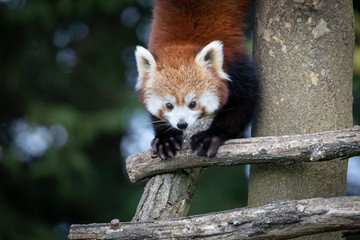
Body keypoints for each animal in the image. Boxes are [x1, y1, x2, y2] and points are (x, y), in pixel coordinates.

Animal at [134, 0, 258, 159]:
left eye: (193, 103)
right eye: (169, 105)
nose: (182, 124)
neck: (182, 42)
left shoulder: (235, 64)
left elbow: (245, 99)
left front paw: (213, 136)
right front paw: (166, 138)